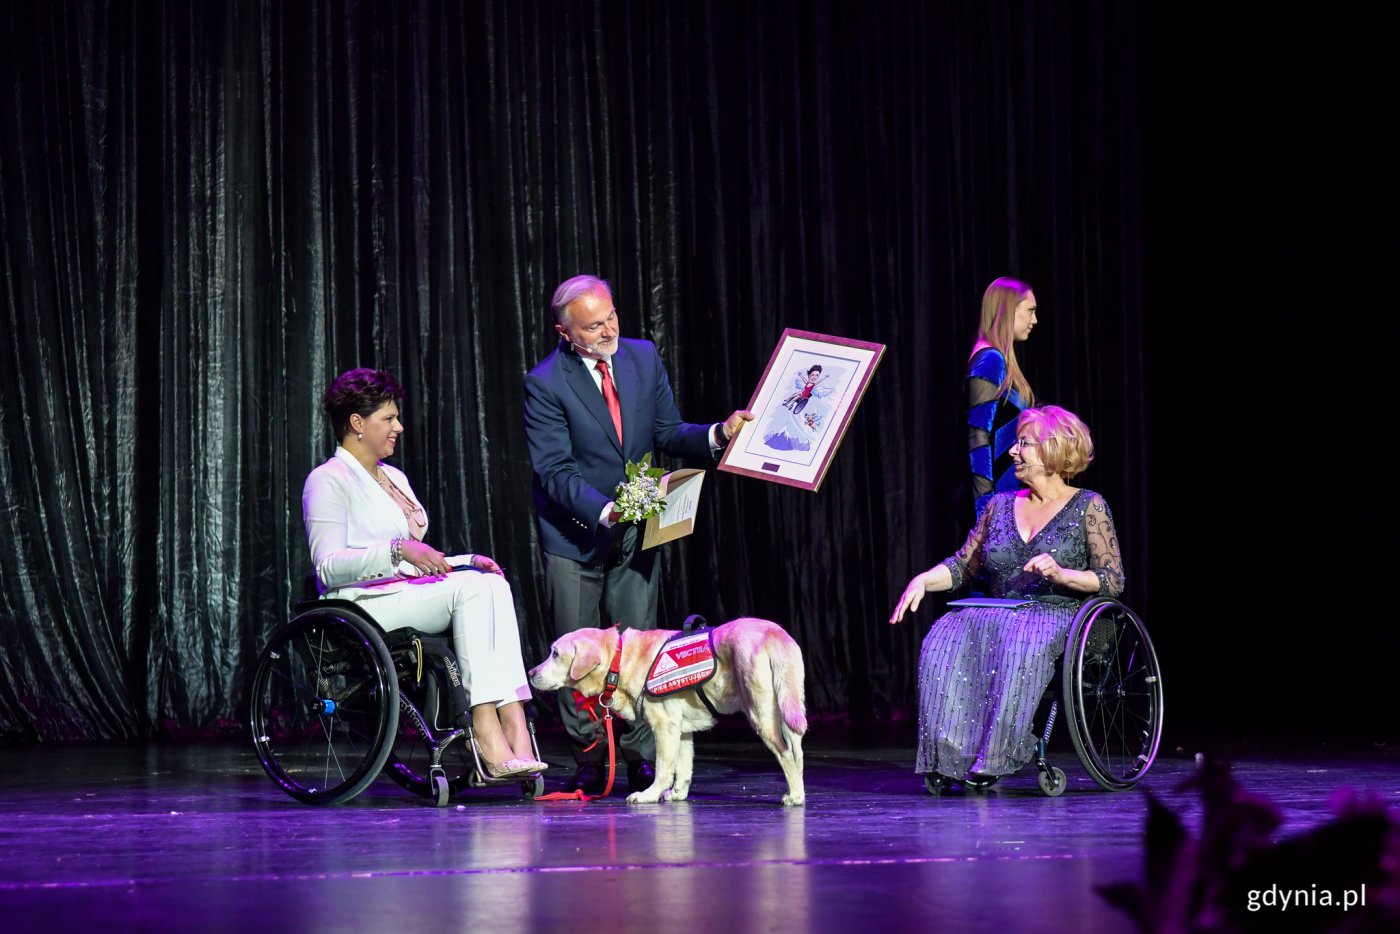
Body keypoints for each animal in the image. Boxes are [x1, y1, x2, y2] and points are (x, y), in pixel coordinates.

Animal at [526, 616, 812, 806]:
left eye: (554, 654)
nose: (530, 672)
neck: (619, 661)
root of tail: (775, 634)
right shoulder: (681, 731)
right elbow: (683, 768)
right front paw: (677, 794)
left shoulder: (664, 727)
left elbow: (664, 768)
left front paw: (649, 794)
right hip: (789, 707)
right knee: (797, 752)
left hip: (761, 713)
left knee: (786, 754)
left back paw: (795, 797)